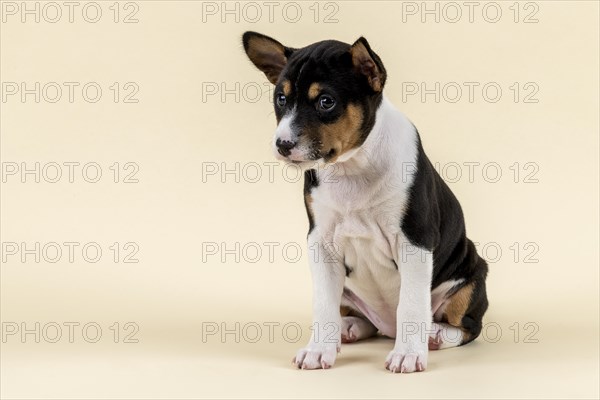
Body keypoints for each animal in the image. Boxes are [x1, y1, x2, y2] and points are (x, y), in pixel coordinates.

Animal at [241, 32, 490, 374]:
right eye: (281, 99)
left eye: (326, 102)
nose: (283, 144)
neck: (352, 168)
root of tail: (388, 328)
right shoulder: (321, 243)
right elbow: (323, 304)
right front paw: (319, 349)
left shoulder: (414, 242)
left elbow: (412, 305)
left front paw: (408, 354)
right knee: (360, 318)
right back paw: (347, 328)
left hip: (472, 276)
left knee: (467, 326)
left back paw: (436, 334)